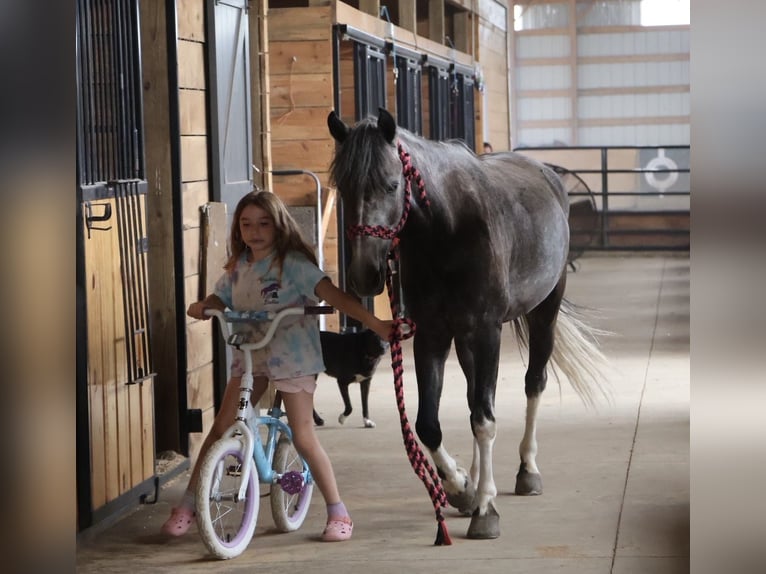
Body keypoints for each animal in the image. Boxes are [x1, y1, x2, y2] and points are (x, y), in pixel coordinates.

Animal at [327, 108, 608, 540]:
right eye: (343, 187)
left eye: (391, 185)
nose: (365, 274)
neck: (447, 228)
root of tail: (547, 174)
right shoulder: (432, 334)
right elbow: (430, 424)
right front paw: (460, 487)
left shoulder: (487, 330)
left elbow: (485, 420)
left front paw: (486, 510)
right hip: (464, 341)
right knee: (475, 395)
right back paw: (475, 483)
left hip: (543, 311)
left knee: (533, 384)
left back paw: (527, 472)